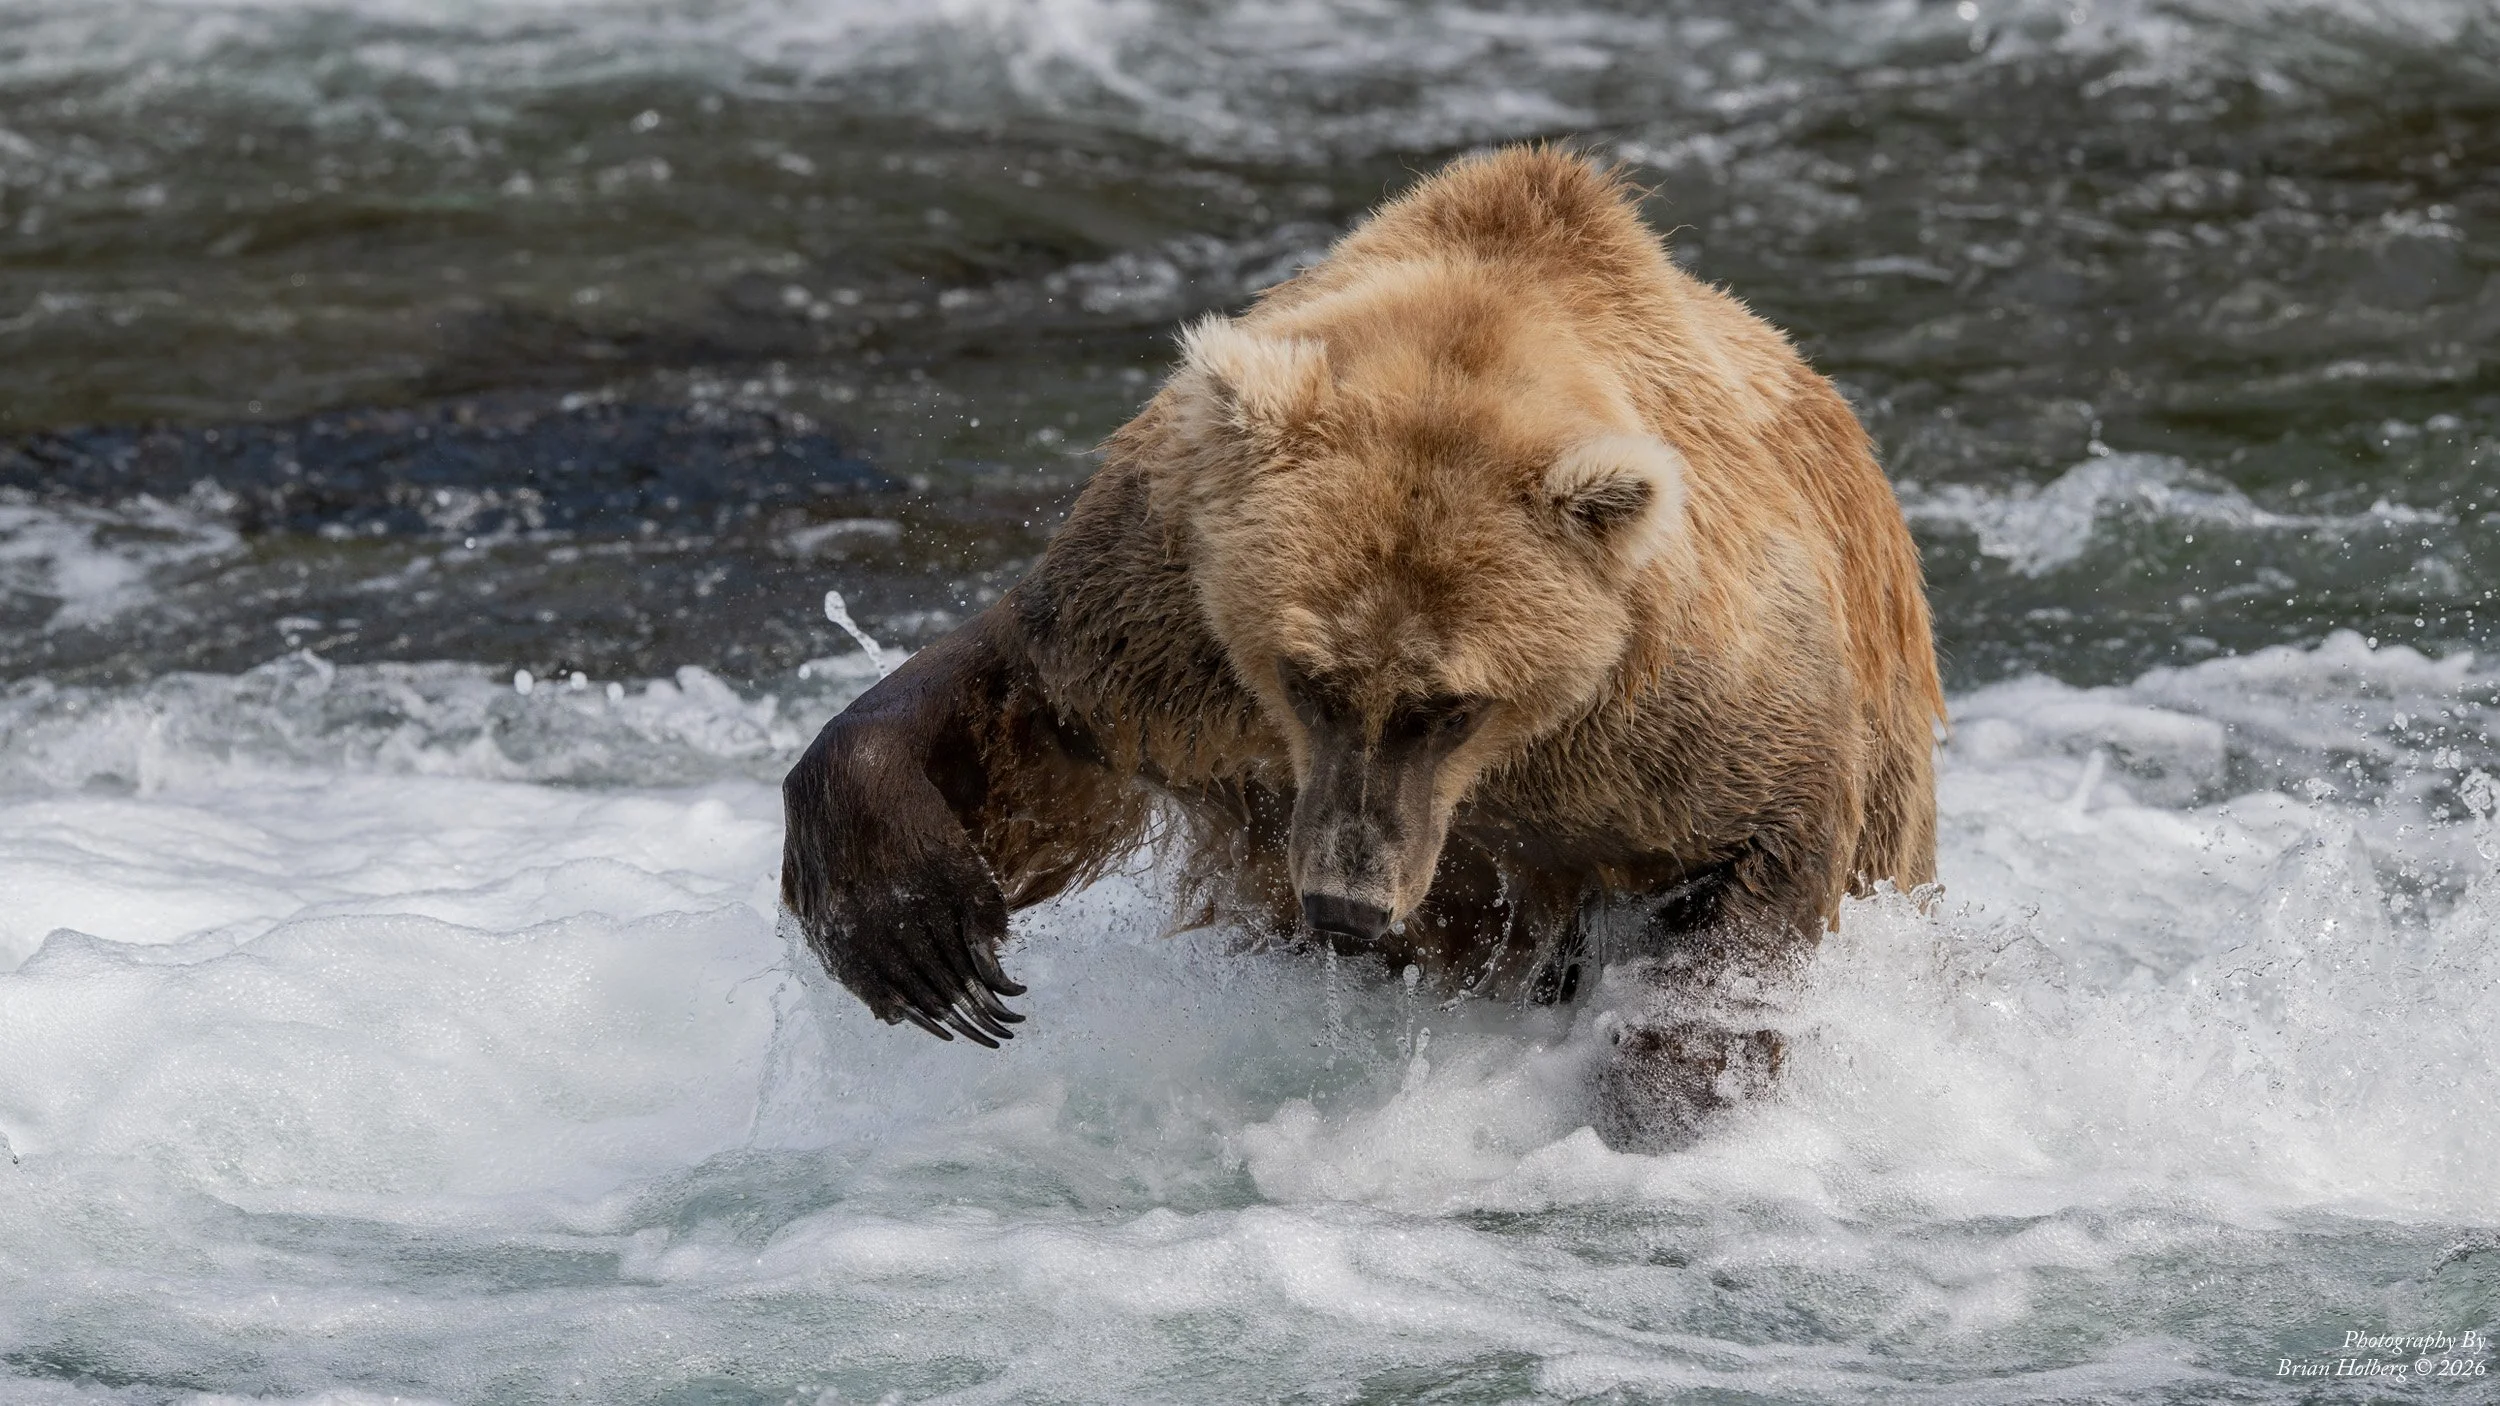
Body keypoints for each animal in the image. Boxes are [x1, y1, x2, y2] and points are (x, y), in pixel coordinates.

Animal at [780, 146, 1945, 1150]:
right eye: (1309, 680)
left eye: (1452, 705)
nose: (1347, 902)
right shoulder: (1168, 614)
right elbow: (1031, 714)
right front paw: (917, 936)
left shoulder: (1666, 709)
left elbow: (1760, 843)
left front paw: (1666, 1089)